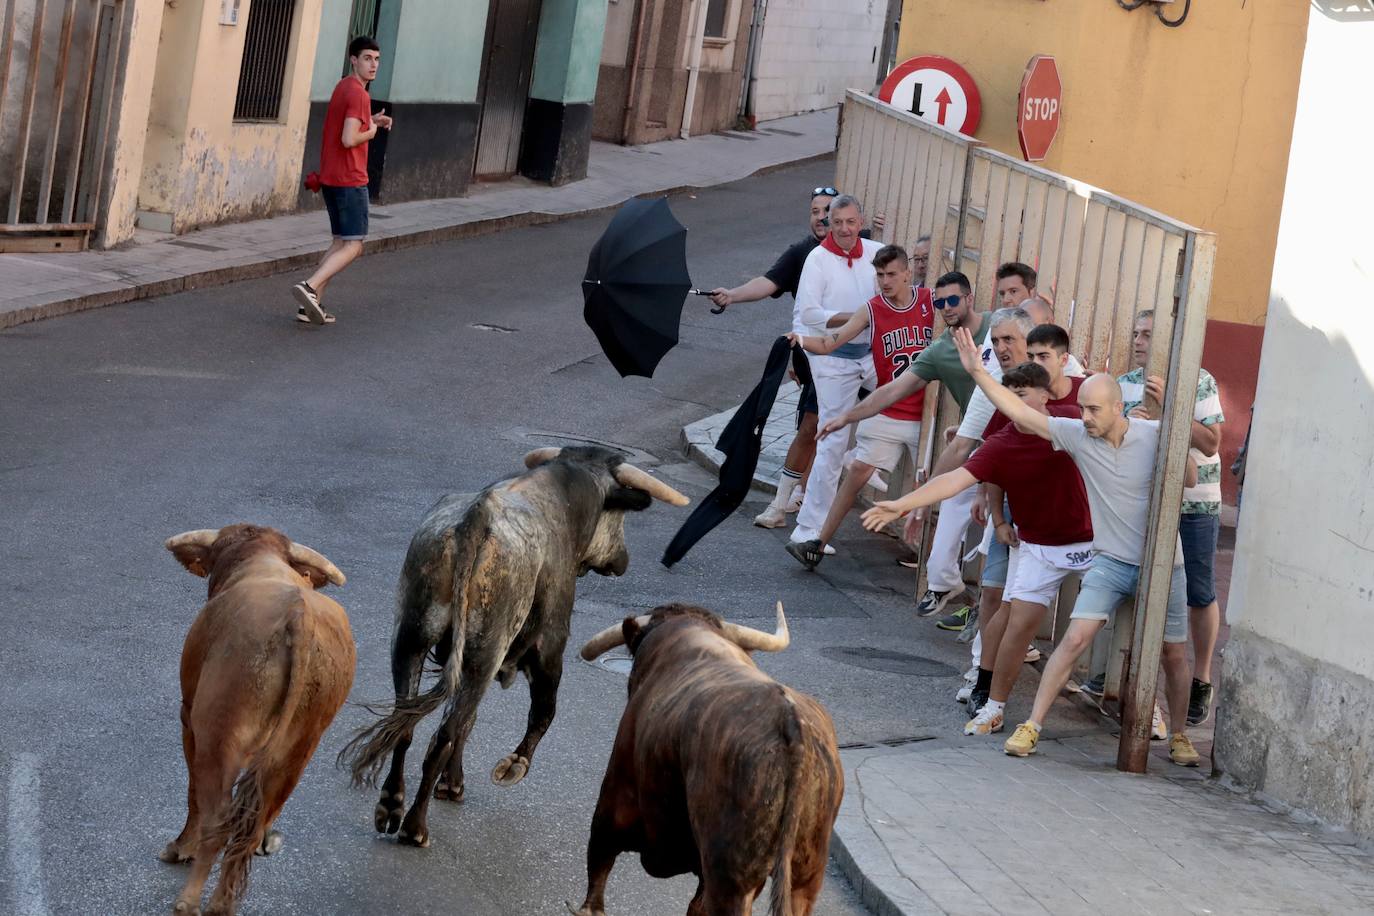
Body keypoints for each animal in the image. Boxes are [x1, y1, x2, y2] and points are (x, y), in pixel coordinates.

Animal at [160, 521, 357, 916]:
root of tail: (298, 615)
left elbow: (193, 794)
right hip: (299, 749)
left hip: (219, 737)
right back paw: (222, 903)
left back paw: (190, 901)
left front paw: (181, 848)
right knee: (253, 824)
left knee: (217, 817)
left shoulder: (188, 717)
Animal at [340, 444, 687, 845]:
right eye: (619, 517)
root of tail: (477, 516)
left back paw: (391, 806)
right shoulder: (551, 646)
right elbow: (544, 712)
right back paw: (415, 826)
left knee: (408, 724)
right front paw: (513, 765)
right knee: (442, 736)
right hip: (482, 655)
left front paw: (452, 785)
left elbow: (468, 721)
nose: (623, 560)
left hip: (411, 640)